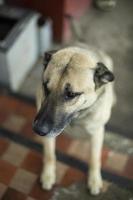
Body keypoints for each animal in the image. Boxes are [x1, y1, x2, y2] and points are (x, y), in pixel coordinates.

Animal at [32, 45, 115, 195]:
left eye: (71, 94)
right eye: (45, 86)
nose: (38, 130)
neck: (76, 117)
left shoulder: (97, 132)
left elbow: (95, 158)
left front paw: (94, 180)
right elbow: (49, 154)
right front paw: (48, 175)